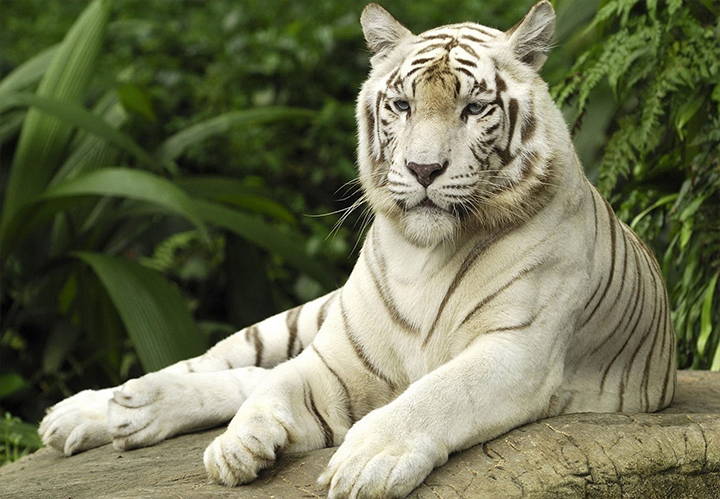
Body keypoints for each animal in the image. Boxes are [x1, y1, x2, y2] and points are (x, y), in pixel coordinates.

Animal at [42, 1, 676, 498]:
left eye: (474, 109)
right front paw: (239, 445)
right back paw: (104, 407)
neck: (425, 255)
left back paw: (125, 411)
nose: (423, 169)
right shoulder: (339, 358)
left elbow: (438, 393)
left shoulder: (517, 351)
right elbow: (277, 385)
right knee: (232, 363)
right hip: (308, 318)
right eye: (402, 105)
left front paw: (365, 461)